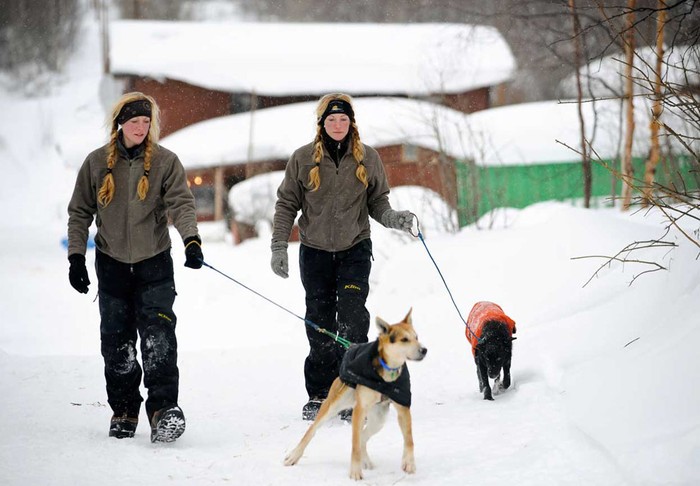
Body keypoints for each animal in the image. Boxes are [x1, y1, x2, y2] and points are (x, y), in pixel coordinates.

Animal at [284, 310, 426, 480]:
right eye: (404, 339)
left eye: (416, 337)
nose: (424, 350)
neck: (386, 375)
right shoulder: (360, 409)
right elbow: (354, 444)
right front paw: (355, 471)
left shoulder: (403, 406)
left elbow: (409, 439)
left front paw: (409, 463)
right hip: (334, 404)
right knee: (313, 431)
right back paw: (294, 455)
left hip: (378, 419)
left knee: (363, 437)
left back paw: (367, 461)